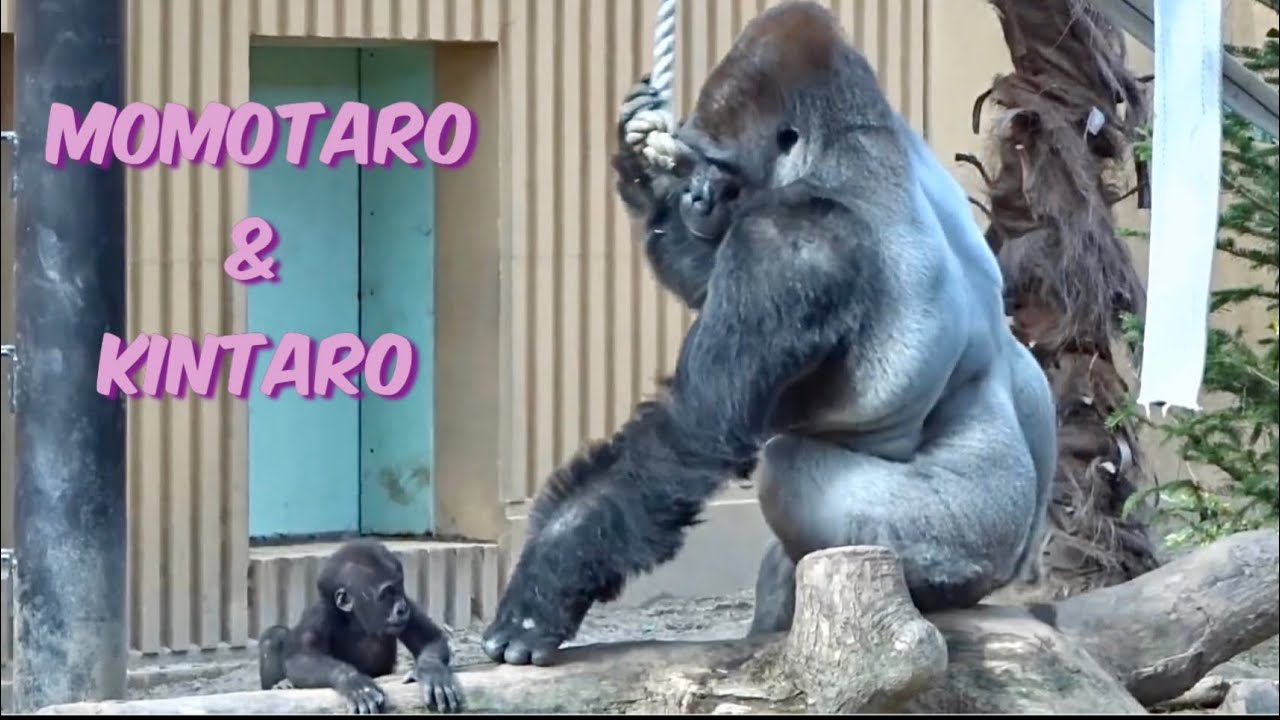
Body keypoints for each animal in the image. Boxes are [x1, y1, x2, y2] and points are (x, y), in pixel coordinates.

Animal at [258, 539, 464, 714]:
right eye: (386, 593)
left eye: (399, 589)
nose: (401, 609)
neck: (356, 618)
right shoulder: (318, 615)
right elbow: (301, 658)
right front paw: (354, 682)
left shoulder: (409, 605)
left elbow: (429, 638)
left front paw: (432, 671)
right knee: (273, 636)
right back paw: (282, 684)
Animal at [480, 0, 1056, 667]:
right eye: (693, 160)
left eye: (719, 164)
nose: (696, 195)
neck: (853, 146)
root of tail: (1018, 558)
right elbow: (705, 283)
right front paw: (643, 171)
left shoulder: (786, 242)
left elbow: (695, 430)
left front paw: (545, 583)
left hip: (961, 543)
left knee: (788, 468)